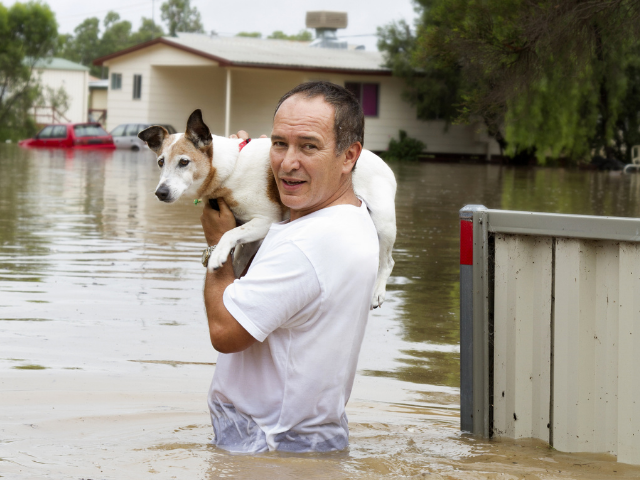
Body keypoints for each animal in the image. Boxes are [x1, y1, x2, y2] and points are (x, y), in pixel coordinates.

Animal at [140, 109, 396, 308]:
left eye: (184, 162)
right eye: (160, 162)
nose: (160, 192)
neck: (228, 170)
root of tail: (384, 164)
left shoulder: (266, 220)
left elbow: (228, 233)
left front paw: (218, 256)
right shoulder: (250, 235)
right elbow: (237, 258)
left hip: (384, 226)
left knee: (387, 261)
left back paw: (377, 292)